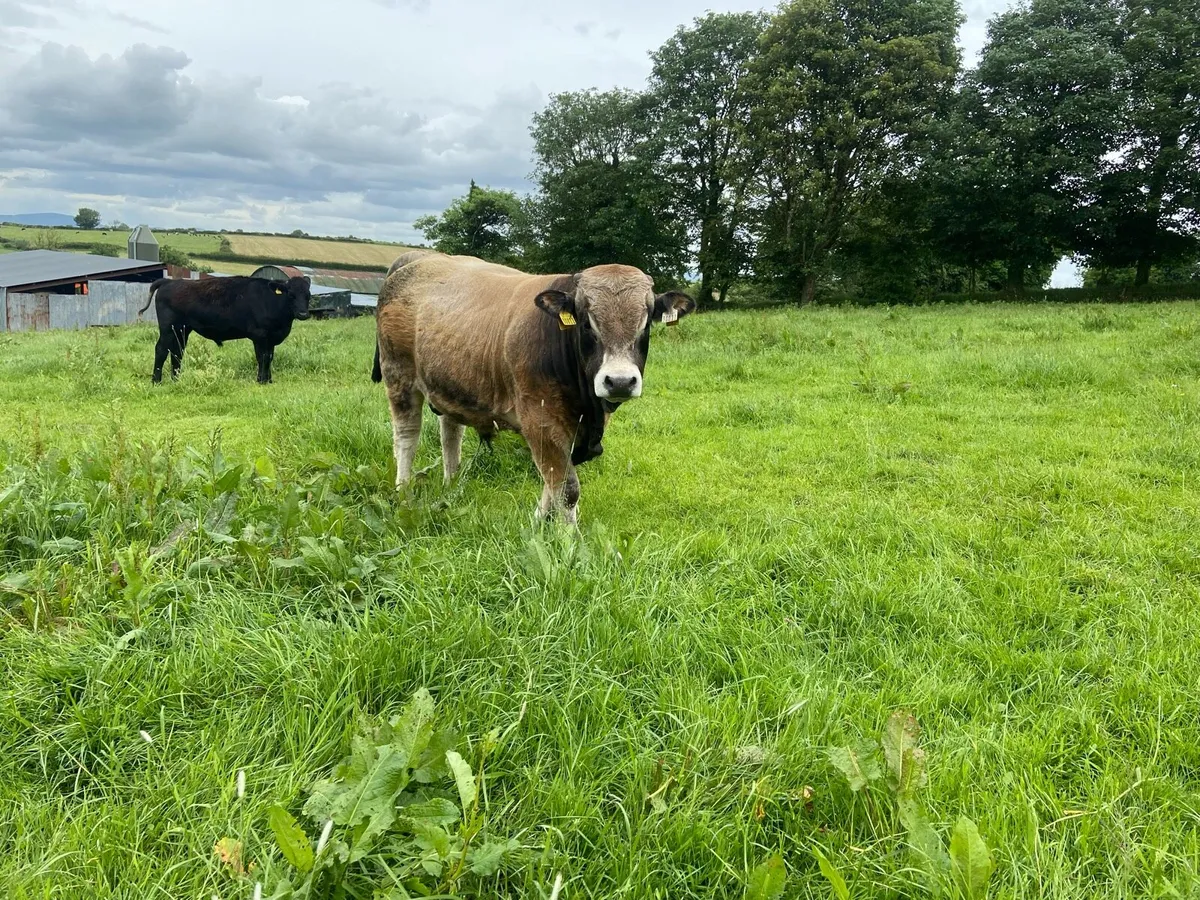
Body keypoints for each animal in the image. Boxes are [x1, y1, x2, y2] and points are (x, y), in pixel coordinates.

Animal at [139, 275, 311, 384]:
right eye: (291, 294)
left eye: (308, 295)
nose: (303, 314)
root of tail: (169, 281)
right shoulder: (260, 335)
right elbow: (262, 357)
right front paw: (261, 381)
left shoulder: (271, 339)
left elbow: (269, 357)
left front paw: (268, 380)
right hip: (168, 328)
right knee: (161, 350)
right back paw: (156, 381)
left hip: (182, 330)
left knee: (177, 352)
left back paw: (176, 379)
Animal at [372, 252, 694, 523]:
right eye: (586, 323)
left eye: (645, 323)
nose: (620, 381)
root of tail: (419, 258)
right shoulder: (540, 422)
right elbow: (566, 489)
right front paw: (569, 544)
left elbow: (554, 483)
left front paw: (538, 521)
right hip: (398, 376)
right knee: (406, 436)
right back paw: (403, 491)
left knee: (450, 433)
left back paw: (451, 485)